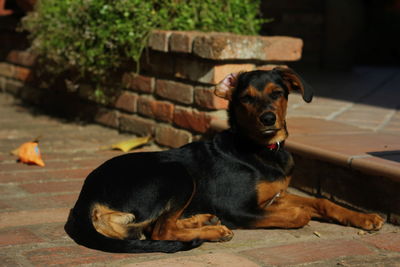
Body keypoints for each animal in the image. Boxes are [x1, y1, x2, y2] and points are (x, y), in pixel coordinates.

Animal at [65, 67, 384, 253]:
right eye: (246, 98)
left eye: (277, 94)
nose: (268, 119)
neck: (260, 150)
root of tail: (85, 196)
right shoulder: (238, 208)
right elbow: (300, 215)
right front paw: (297, 213)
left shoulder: (277, 194)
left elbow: (322, 201)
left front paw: (365, 217)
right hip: (177, 174)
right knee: (158, 229)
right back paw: (214, 230)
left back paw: (202, 219)